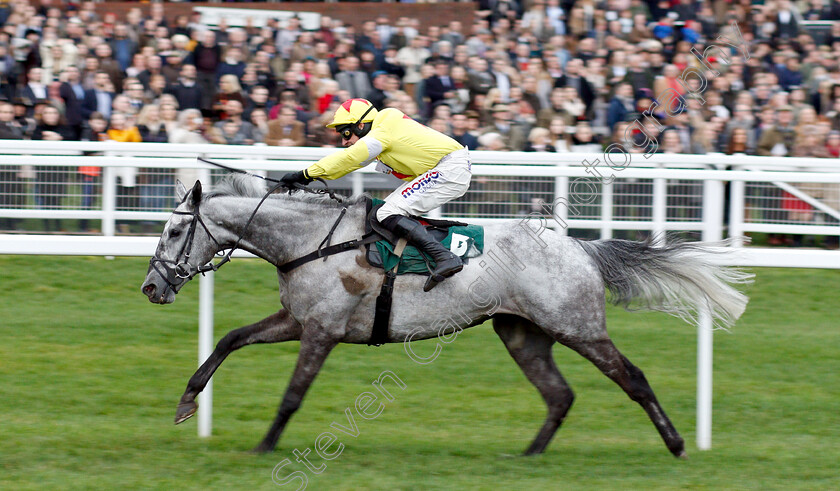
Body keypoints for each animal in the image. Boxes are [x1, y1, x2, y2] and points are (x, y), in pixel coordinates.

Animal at [141, 177, 752, 458]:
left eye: (174, 230)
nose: (151, 287)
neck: (311, 241)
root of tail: (579, 246)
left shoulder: (322, 331)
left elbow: (293, 394)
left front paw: (265, 446)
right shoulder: (297, 320)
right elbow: (230, 338)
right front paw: (186, 402)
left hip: (576, 326)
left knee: (633, 378)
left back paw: (676, 443)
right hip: (523, 333)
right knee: (559, 394)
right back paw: (529, 455)